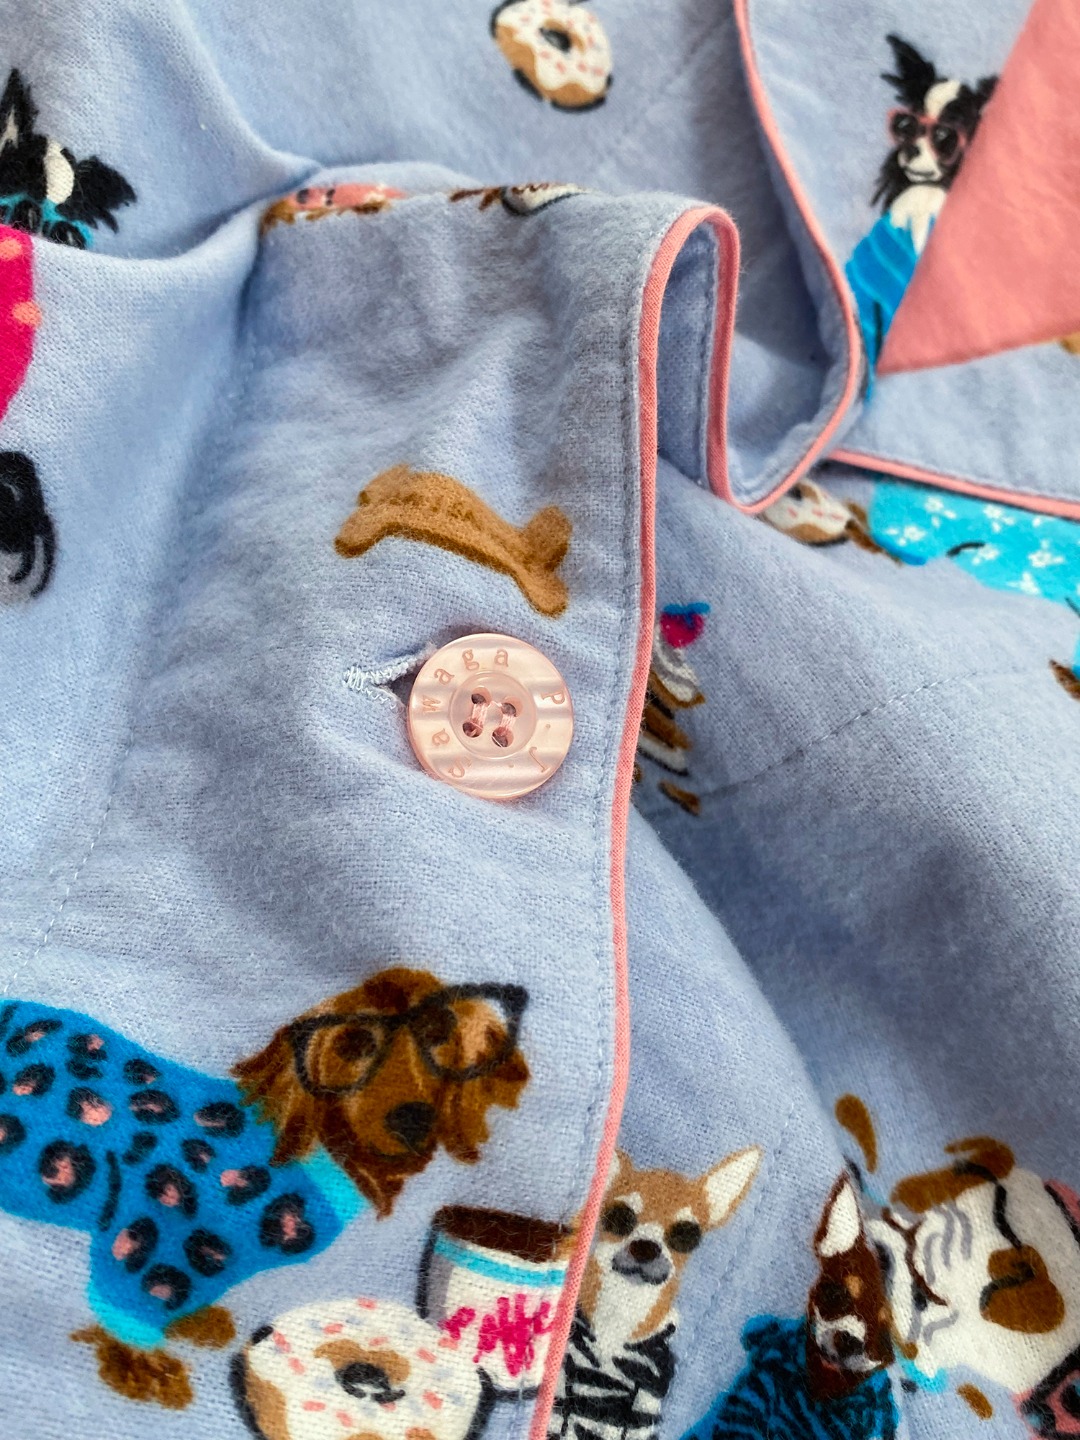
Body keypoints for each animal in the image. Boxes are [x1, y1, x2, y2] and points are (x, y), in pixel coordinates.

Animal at [0, 968, 529, 1408]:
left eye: (439, 1035)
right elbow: (138, 1293)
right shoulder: (154, 1222)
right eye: (354, 1043)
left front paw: (194, 1319)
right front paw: (139, 1366)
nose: (412, 1120)